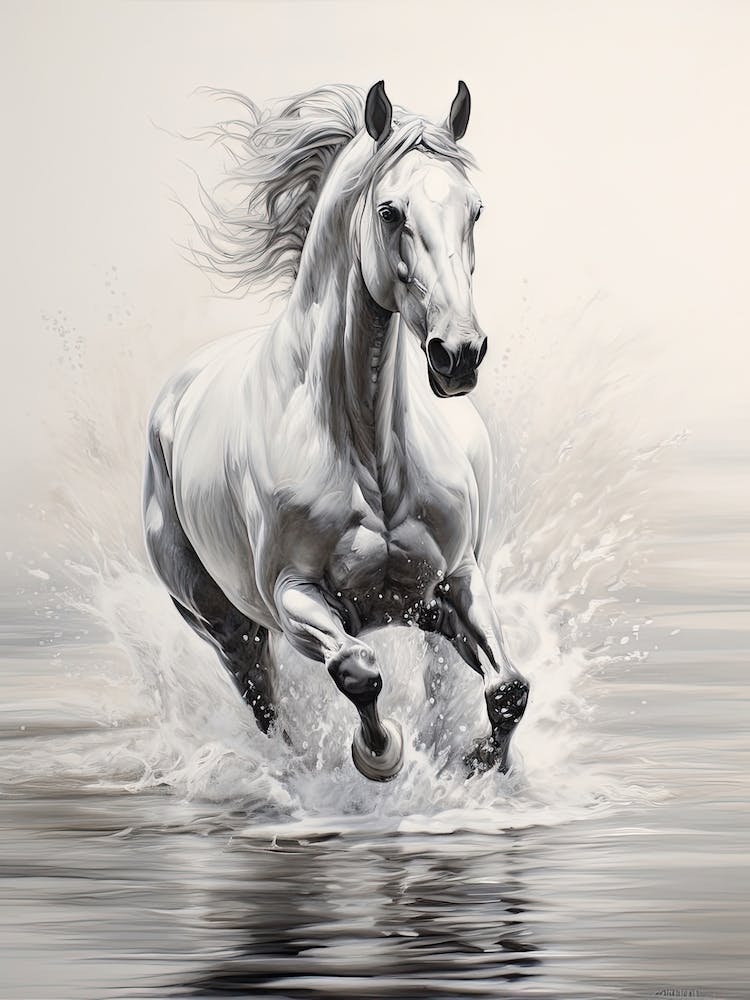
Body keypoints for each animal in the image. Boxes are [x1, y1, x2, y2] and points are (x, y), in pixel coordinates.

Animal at [143, 80, 529, 782]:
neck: (367, 450)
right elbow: (357, 669)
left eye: (475, 211)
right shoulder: (295, 597)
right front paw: (380, 755)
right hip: (227, 627)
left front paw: (481, 766)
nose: (459, 353)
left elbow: (509, 688)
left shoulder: (455, 582)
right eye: (390, 212)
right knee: (266, 707)